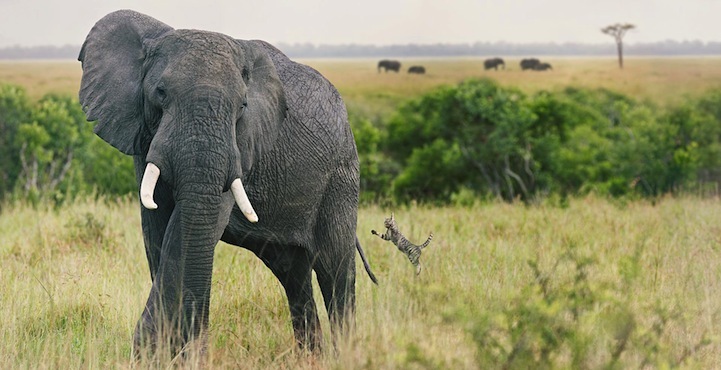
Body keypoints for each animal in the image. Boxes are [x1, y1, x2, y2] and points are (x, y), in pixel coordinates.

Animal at [79, 8, 380, 356]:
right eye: (160, 93)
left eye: (242, 107)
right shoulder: (145, 140)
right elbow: (157, 234)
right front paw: (168, 353)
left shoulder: (240, 148)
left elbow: (186, 231)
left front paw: (160, 351)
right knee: (293, 274)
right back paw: (311, 357)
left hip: (341, 176)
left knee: (334, 270)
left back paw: (346, 353)